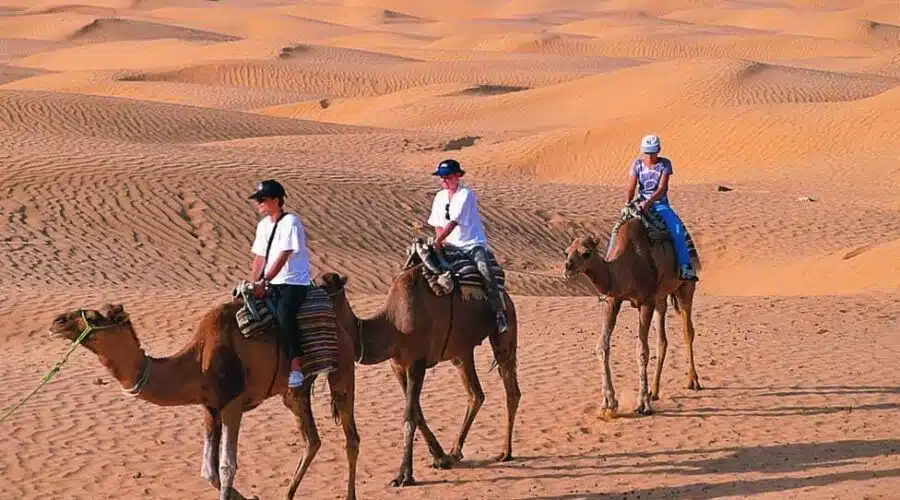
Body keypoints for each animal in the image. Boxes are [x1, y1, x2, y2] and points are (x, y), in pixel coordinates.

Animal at [47, 300, 360, 500]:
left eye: (95, 317)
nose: (56, 321)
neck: (198, 360)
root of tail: (340, 325)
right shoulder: (209, 407)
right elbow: (208, 471)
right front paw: (249, 497)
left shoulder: (233, 403)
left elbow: (226, 466)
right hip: (293, 390)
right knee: (312, 439)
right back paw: (288, 494)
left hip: (343, 368)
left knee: (351, 437)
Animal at [318, 270, 520, 488]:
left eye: (325, 289)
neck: (392, 324)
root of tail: (506, 295)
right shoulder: (397, 365)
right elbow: (417, 412)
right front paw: (440, 457)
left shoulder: (417, 362)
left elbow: (409, 415)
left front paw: (403, 475)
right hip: (461, 351)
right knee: (476, 394)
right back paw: (455, 452)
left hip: (505, 327)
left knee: (511, 389)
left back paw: (505, 452)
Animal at [564, 213, 704, 416]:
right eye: (566, 252)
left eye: (586, 253)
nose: (567, 267)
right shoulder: (613, 299)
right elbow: (602, 347)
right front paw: (608, 403)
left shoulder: (645, 301)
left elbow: (642, 351)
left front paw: (643, 404)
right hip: (660, 298)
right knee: (662, 340)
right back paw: (654, 391)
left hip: (685, 286)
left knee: (688, 330)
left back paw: (692, 381)